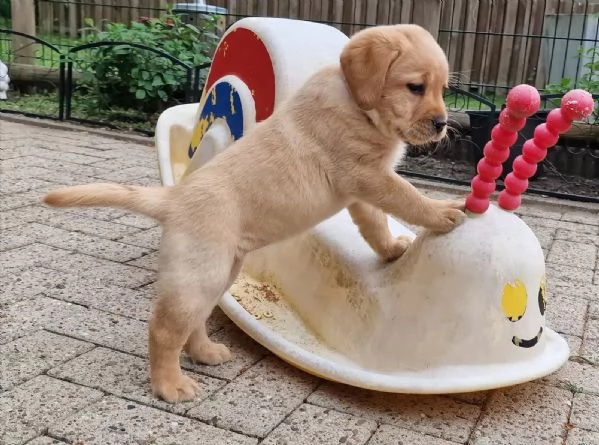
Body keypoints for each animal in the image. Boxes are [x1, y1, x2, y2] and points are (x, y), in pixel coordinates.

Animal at [43, 24, 464, 402]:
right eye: (415, 87)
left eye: (442, 89)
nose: (442, 124)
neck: (356, 104)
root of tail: (175, 197)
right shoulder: (367, 175)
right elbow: (406, 195)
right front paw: (442, 211)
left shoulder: (360, 190)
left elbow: (374, 224)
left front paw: (392, 248)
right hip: (199, 273)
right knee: (163, 329)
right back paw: (169, 385)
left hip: (219, 274)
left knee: (195, 321)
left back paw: (205, 352)